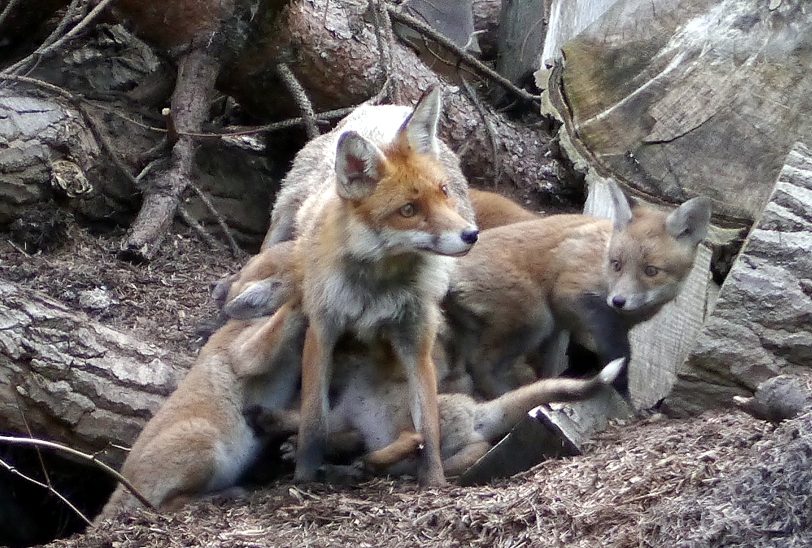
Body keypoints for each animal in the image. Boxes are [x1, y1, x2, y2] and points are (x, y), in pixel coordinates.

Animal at [280, 85, 478, 484]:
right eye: (408, 210)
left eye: (443, 192)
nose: (471, 235)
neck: (378, 287)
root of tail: (386, 106)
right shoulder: (323, 328)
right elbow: (314, 417)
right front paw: (303, 476)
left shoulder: (417, 338)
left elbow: (428, 423)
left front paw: (434, 480)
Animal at [444, 183, 712, 398]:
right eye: (617, 264)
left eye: (651, 271)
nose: (618, 301)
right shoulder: (572, 293)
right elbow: (619, 353)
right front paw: (623, 395)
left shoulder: (574, 328)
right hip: (536, 319)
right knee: (482, 365)